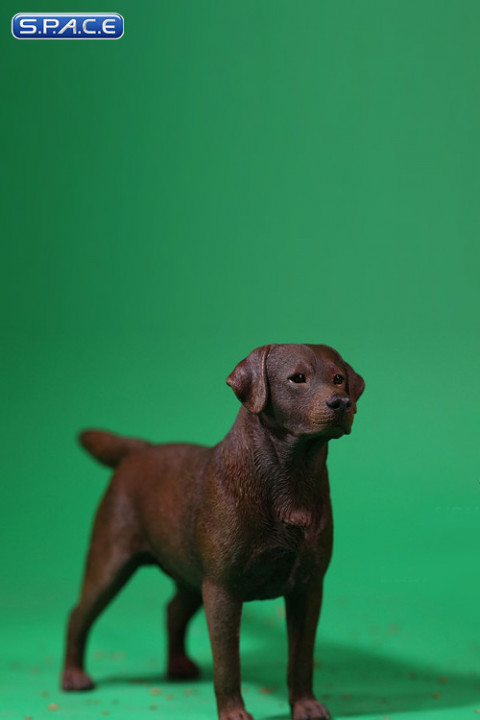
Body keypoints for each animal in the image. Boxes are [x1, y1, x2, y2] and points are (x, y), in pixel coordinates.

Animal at [62, 344, 366, 720]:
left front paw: (307, 706)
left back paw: (178, 665)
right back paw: (74, 676)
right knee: (79, 613)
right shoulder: (223, 587)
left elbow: (301, 658)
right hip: (111, 559)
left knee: (173, 610)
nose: (341, 402)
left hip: (191, 573)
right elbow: (227, 662)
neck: (290, 477)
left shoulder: (308, 586)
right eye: (297, 378)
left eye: (339, 378)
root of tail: (139, 450)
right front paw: (234, 712)